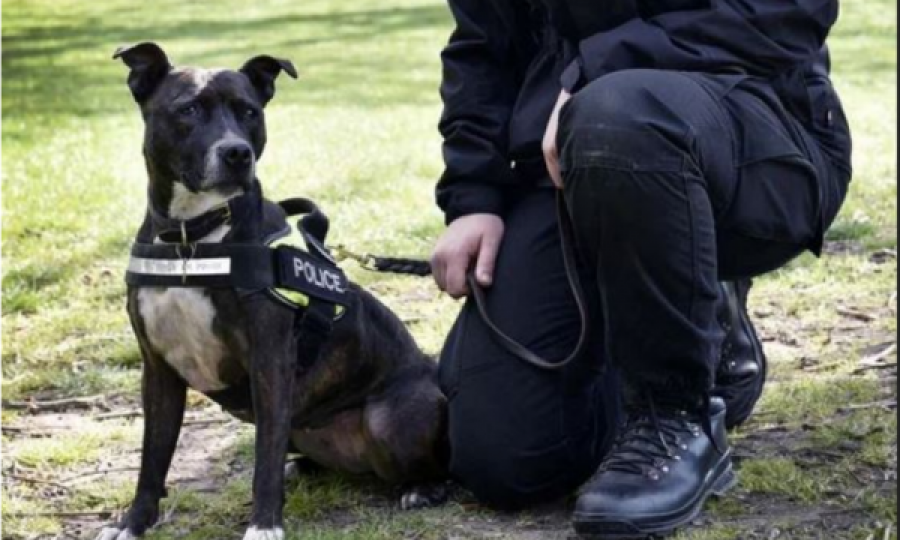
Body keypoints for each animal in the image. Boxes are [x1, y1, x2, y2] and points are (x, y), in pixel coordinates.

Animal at [97, 43, 446, 540]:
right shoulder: (158, 369)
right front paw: (133, 524)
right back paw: (301, 468)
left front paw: (264, 525)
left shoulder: (270, 361)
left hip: (389, 420)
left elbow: (263, 454)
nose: (237, 153)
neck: (192, 238)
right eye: (187, 110)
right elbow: (152, 459)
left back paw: (421, 489)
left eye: (249, 112)